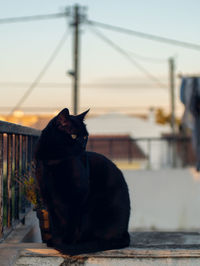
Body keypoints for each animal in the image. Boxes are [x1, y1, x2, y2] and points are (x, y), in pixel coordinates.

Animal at [35, 108, 130, 256]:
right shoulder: (50, 201)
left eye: (85, 137)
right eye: (73, 136)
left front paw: (66, 244)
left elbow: (71, 223)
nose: (83, 146)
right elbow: (55, 224)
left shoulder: (76, 198)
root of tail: (125, 232)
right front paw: (55, 241)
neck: (53, 162)